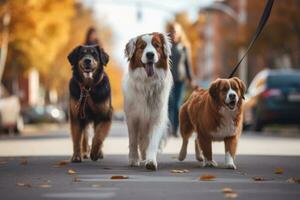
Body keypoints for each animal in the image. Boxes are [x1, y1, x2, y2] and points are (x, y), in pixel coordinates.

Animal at [122, 32, 173, 170]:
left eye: (156, 46)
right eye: (142, 47)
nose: (150, 54)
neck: (147, 83)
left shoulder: (156, 118)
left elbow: (153, 142)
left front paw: (150, 161)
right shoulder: (133, 118)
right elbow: (133, 141)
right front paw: (133, 159)